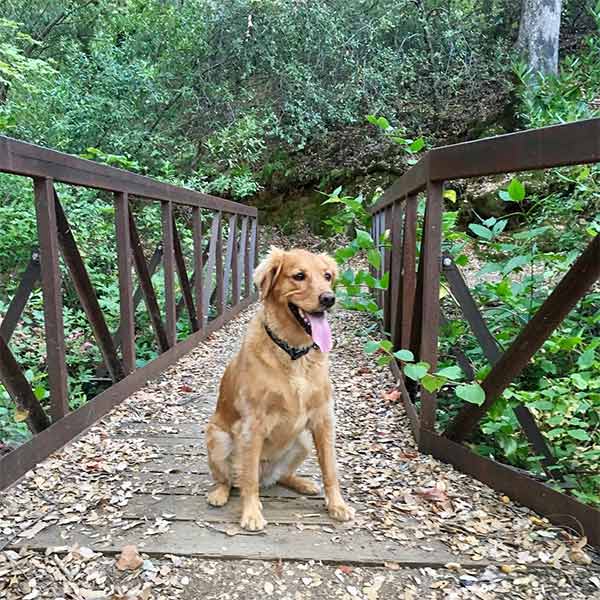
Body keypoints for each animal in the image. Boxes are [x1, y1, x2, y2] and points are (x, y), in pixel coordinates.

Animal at [206, 245, 356, 528]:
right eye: (299, 276)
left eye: (328, 276)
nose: (329, 298)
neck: (293, 353)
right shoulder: (252, 424)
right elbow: (248, 479)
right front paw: (251, 513)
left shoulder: (323, 419)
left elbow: (330, 469)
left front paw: (337, 505)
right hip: (218, 438)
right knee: (231, 479)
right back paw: (219, 494)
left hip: (303, 440)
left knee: (282, 476)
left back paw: (303, 483)